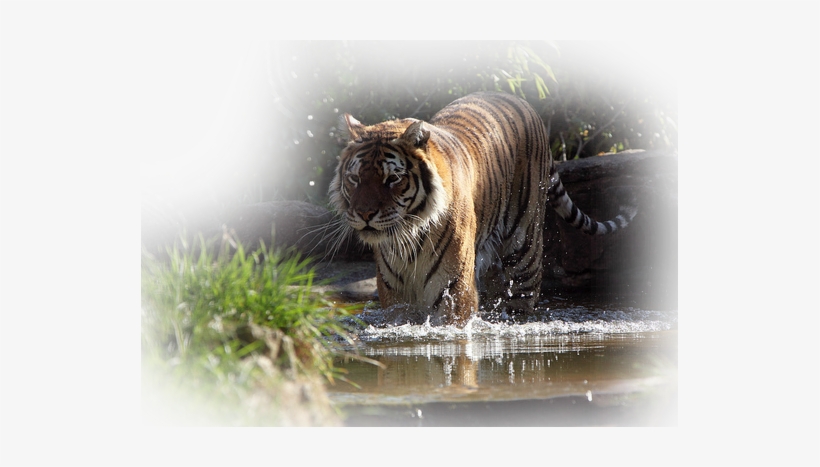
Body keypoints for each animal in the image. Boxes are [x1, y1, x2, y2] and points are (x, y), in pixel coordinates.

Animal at [328, 91, 636, 326]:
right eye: (354, 178)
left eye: (392, 179)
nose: (364, 215)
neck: (409, 240)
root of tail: (523, 102)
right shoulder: (395, 297)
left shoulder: (454, 292)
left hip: (525, 252)